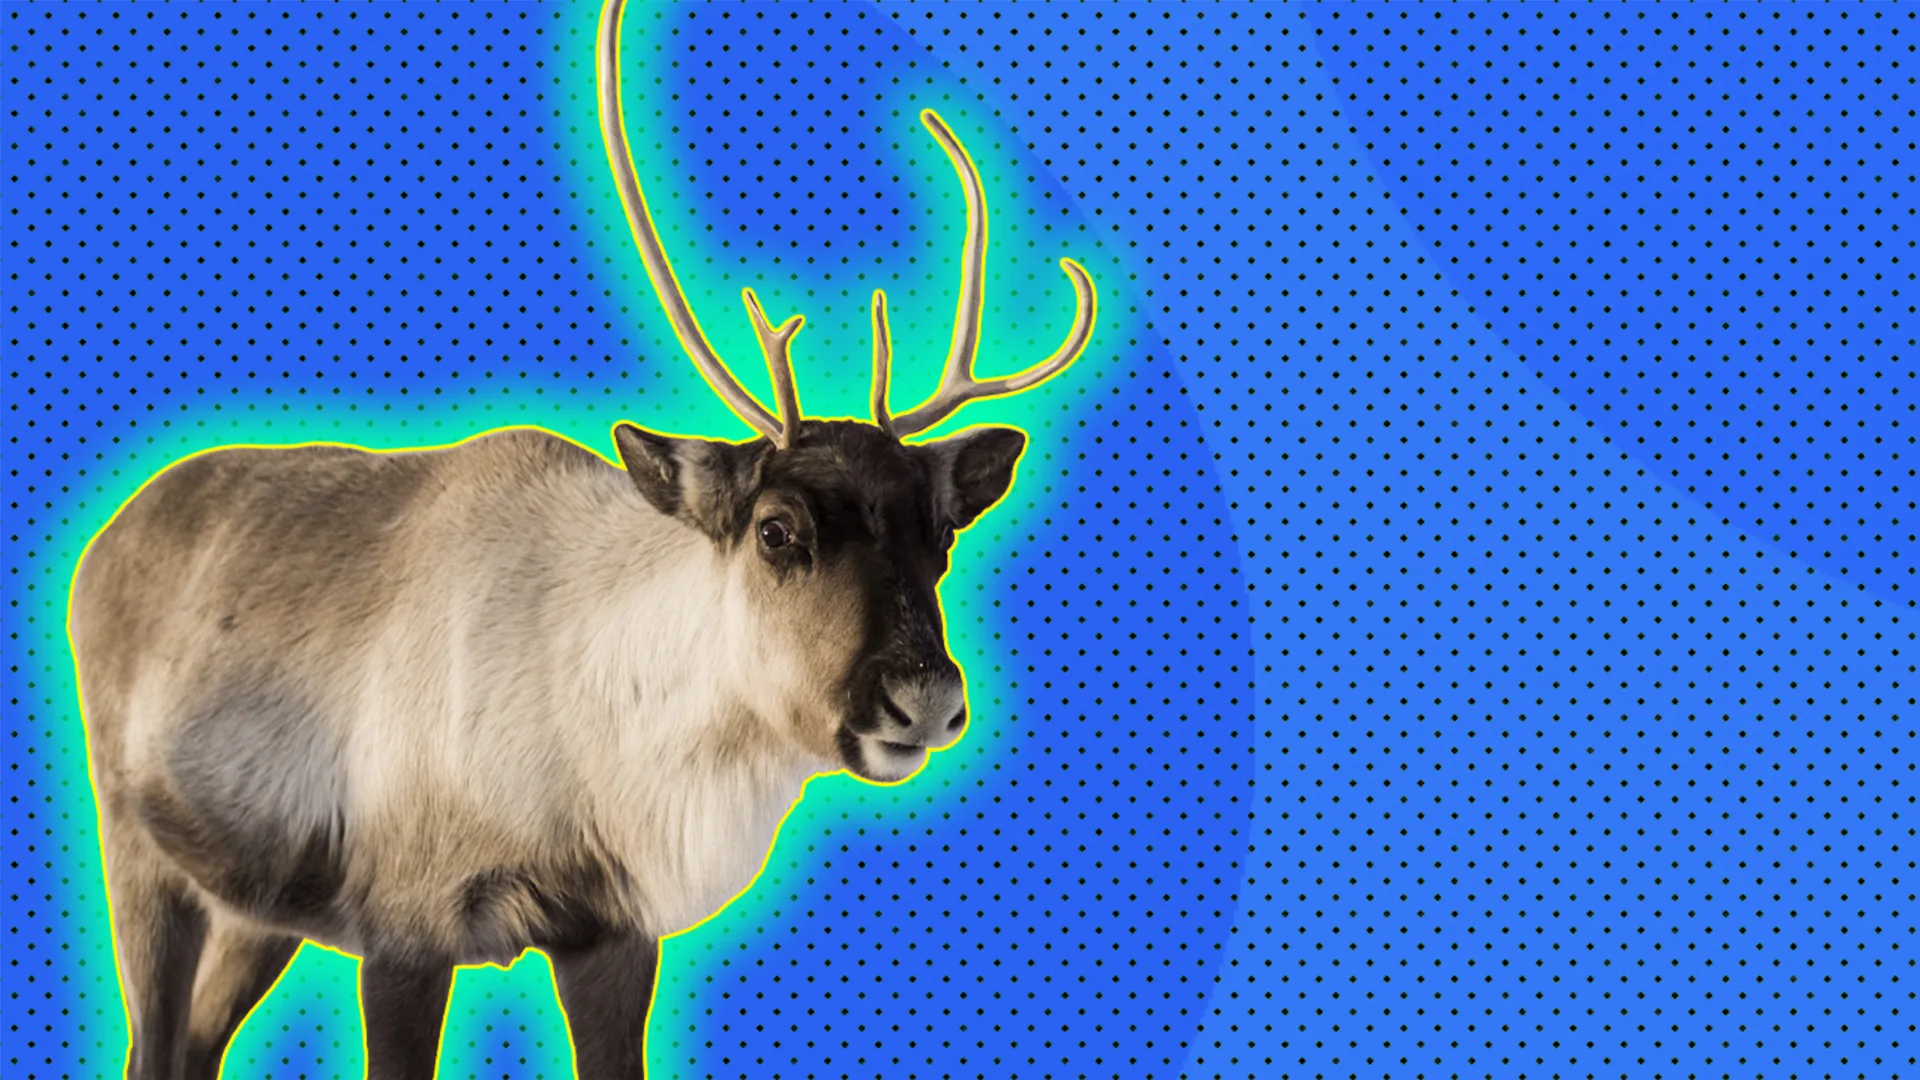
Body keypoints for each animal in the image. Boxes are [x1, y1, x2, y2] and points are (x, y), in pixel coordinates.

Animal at [64, 0, 1097, 1077]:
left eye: (942, 535)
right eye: (777, 530)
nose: (922, 696)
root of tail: (102, 539)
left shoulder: (613, 936)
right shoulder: (403, 927)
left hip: (257, 906)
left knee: (195, 1042)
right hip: (136, 849)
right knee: (152, 1038)